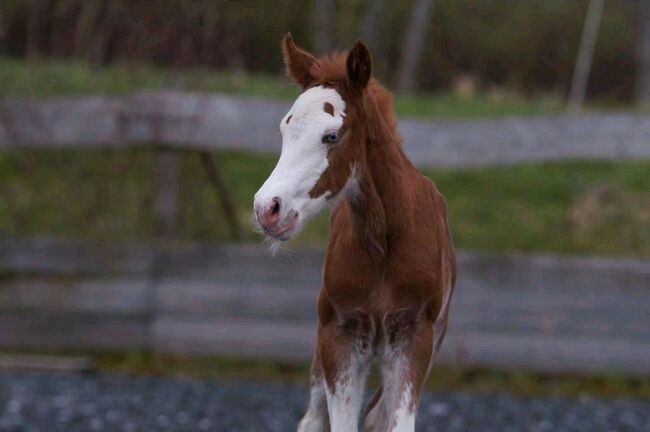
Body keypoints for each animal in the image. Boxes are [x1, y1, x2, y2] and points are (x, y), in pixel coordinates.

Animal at [253, 34, 456, 432]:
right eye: (285, 128)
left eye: (332, 135)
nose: (268, 209)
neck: (384, 242)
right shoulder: (340, 338)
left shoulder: (414, 339)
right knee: (314, 417)